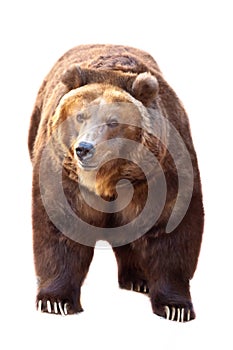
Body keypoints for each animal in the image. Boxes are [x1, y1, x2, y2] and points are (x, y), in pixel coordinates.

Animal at [28, 44, 204, 322]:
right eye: (80, 116)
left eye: (113, 121)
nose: (84, 149)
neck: (109, 178)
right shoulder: (63, 174)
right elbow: (60, 227)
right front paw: (56, 301)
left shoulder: (161, 173)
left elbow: (170, 230)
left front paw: (176, 307)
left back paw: (138, 280)